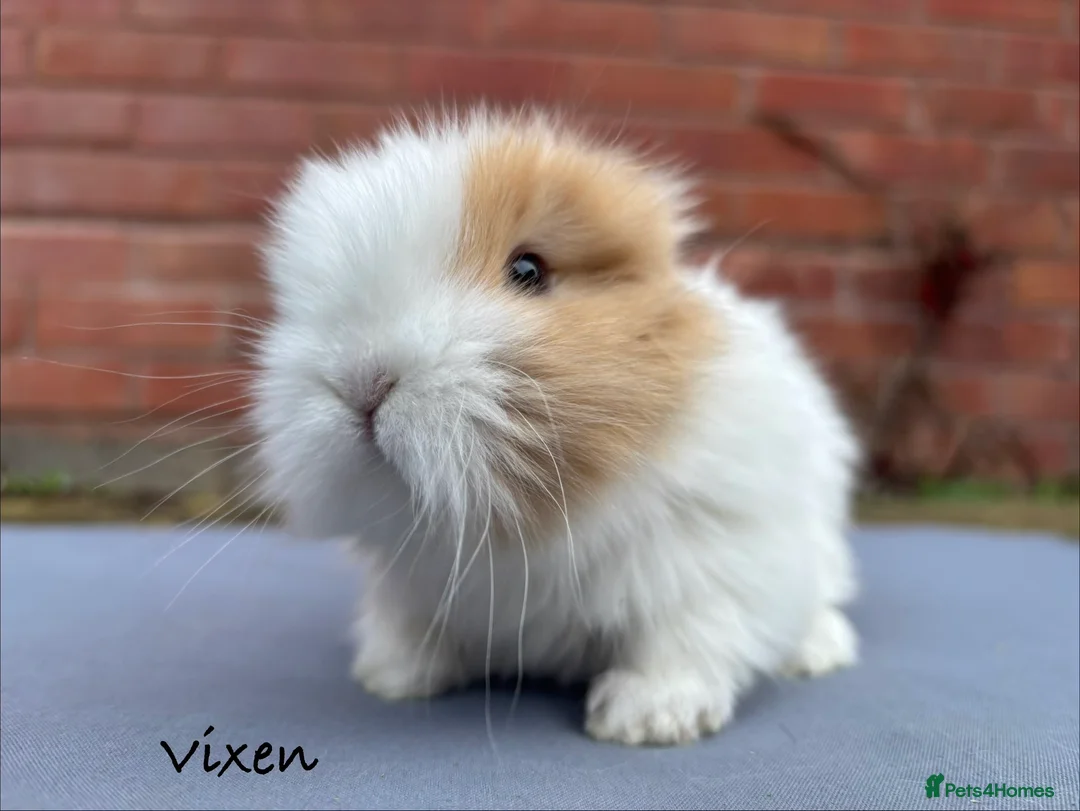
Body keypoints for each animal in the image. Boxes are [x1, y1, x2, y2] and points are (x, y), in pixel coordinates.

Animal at [249, 107, 862, 747]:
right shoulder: (412, 582)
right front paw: (393, 676)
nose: (362, 382)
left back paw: (819, 650)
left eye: (528, 270)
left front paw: (648, 719)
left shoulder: (708, 557)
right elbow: (412, 625)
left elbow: (682, 639)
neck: (517, 530)